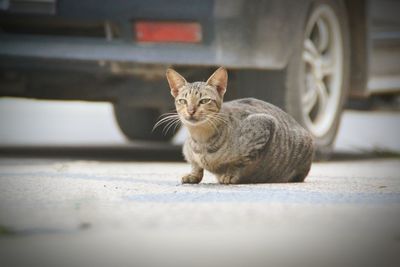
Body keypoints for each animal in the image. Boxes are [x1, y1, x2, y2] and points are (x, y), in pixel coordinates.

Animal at [164, 67, 314, 184]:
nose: (191, 111)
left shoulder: (263, 126)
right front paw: (193, 174)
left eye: (204, 101)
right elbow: (195, 164)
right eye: (183, 101)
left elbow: (239, 162)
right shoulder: (187, 150)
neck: (200, 139)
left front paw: (230, 174)